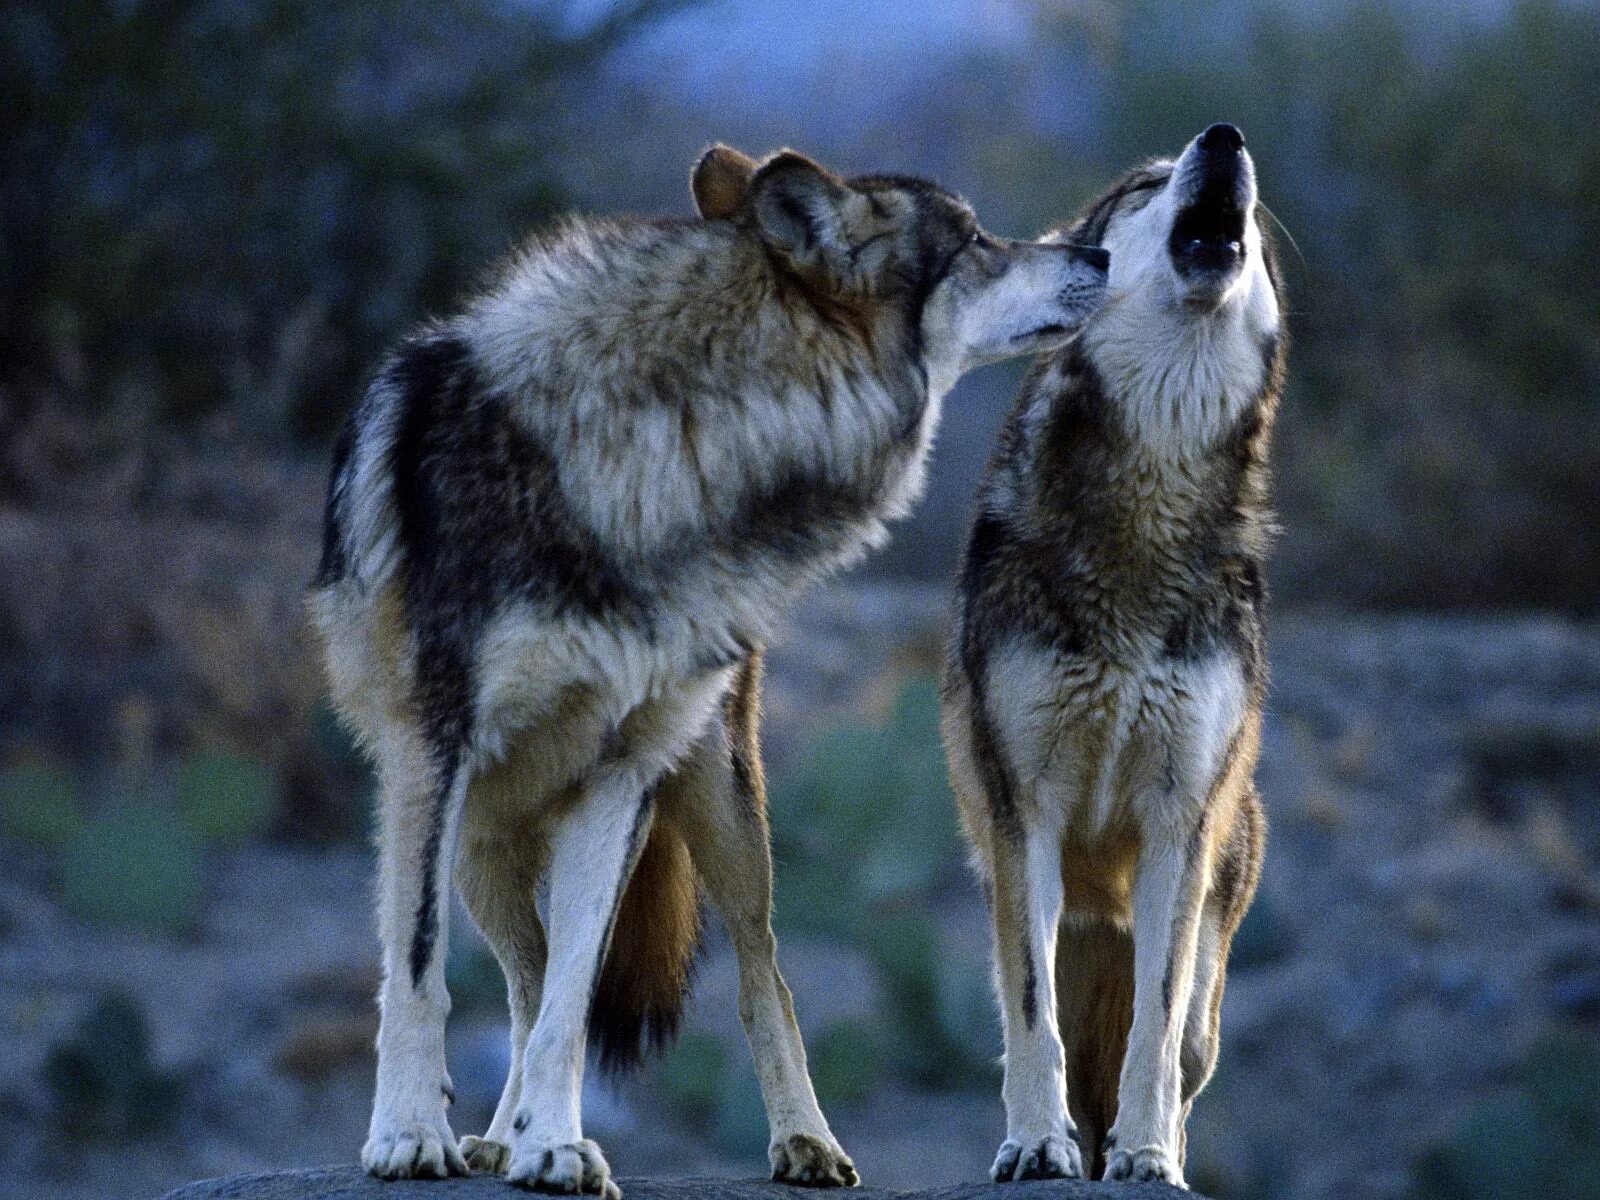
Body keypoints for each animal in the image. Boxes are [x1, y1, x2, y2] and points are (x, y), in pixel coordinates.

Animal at [312, 145, 1113, 1196]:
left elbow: (573, 1004)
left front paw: (556, 1144)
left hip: (717, 804)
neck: (676, 441)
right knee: (519, 978)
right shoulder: (430, 756)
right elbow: (420, 973)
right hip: (482, 839)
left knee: (752, 973)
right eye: (977, 241)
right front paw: (412, 1134)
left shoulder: (616, 777)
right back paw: (491, 1136)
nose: (1100, 253)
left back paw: (800, 1142)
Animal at [940, 120, 1280, 1184]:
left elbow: (1155, 1028)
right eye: (1144, 185)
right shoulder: (1025, 814)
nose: (1226, 138)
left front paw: (1148, 1158)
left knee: (1185, 1049)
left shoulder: (1181, 822)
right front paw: (1034, 1144)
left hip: (1216, 939)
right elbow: (1032, 1015)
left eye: (1260, 209)